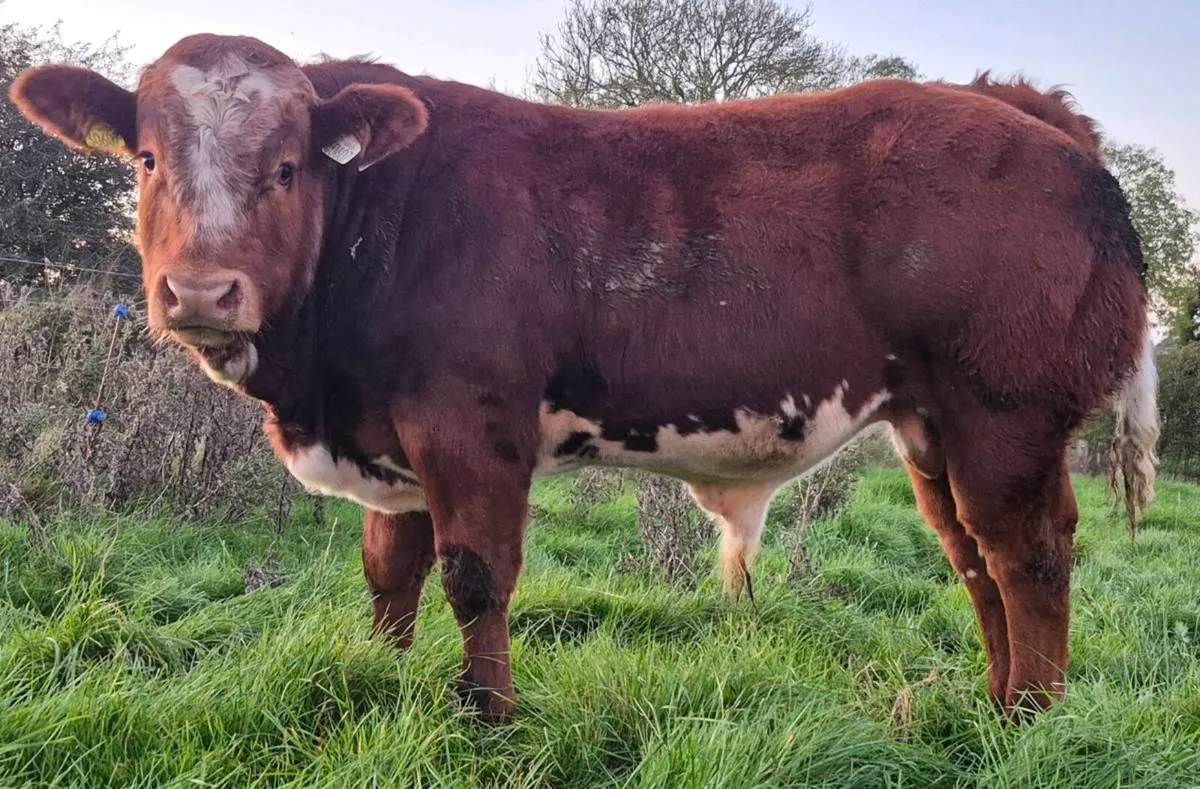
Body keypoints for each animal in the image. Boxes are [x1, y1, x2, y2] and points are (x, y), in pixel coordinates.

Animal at [11, 33, 1159, 724]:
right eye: (147, 159)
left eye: (288, 167)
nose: (202, 292)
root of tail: (1023, 109)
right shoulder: (390, 439)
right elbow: (389, 573)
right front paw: (382, 681)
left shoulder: (469, 422)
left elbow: (476, 576)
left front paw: (487, 718)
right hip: (930, 421)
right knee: (971, 559)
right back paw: (992, 704)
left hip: (1004, 408)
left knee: (1027, 554)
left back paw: (1032, 720)